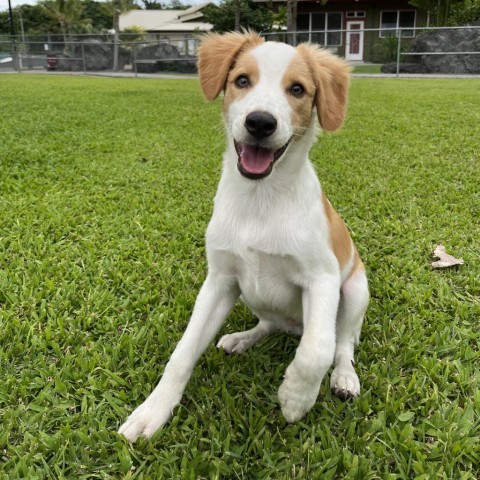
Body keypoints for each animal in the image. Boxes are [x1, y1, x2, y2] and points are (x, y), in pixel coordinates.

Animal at [118, 31, 370, 442]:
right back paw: (241, 339)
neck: (260, 199)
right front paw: (153, 411)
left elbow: (317, 349)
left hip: (356, 289)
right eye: (241, 80)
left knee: (342, 342)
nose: (260, 122)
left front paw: (296, 398)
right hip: (252, 295)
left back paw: (344, 377)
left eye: (297, 89)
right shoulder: (220, 280)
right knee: (269, 324)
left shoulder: (322, 278)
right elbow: (182, 352)